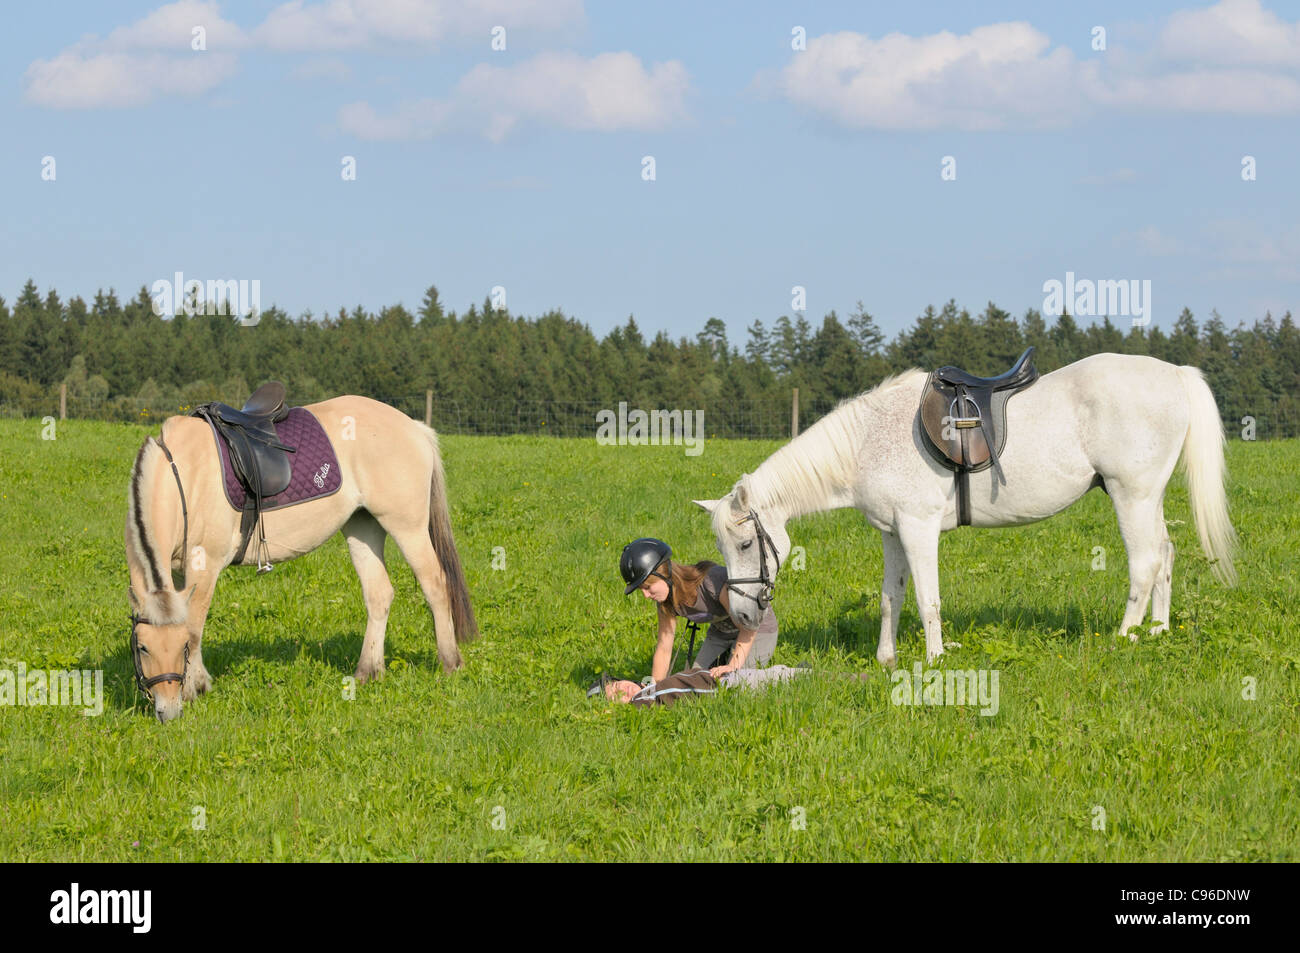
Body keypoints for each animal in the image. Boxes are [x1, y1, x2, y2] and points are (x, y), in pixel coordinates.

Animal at [125, 395, 478, 722]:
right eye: (142, 646)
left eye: (181, 646)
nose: (167, 712)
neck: (183, 477)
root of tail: (416, 428)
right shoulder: (179, 574)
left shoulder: (205, 565)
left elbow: (196, 626)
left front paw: (195, 688)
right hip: (363, 526)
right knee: (379, 594)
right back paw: (367, 671)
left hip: (408, 528)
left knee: (435, 584)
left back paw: (450, 662)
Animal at [702, 353, 1237, 665]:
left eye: (746, 543)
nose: (742, 615)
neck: (868, 441)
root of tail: (1174, 373)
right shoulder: (892, 533)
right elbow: (891, 598)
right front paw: (885, 659)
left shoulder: (918, 529)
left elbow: (927, 600)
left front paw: (936, 659)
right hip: (1148, 497)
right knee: (1165, 554)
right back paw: (1158, 631)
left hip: (1132, 495)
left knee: (1144, 562)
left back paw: (1124, 638)